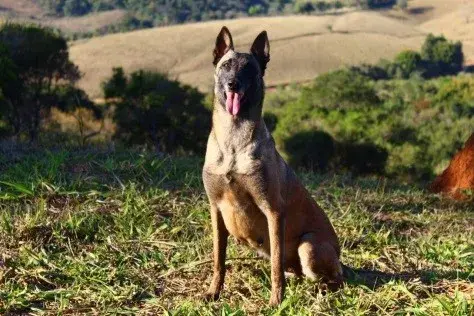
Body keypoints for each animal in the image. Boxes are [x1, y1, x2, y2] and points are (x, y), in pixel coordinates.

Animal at [202, 27, 342, 306]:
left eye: (249, 69)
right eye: (226, 66)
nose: (233, 83)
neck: (234, 142)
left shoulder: (274, 211)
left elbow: (276, 263)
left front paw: (276, 301)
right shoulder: (215, 209)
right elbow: (218, 259)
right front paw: (214, 291)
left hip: (309, 245)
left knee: (334, 279)